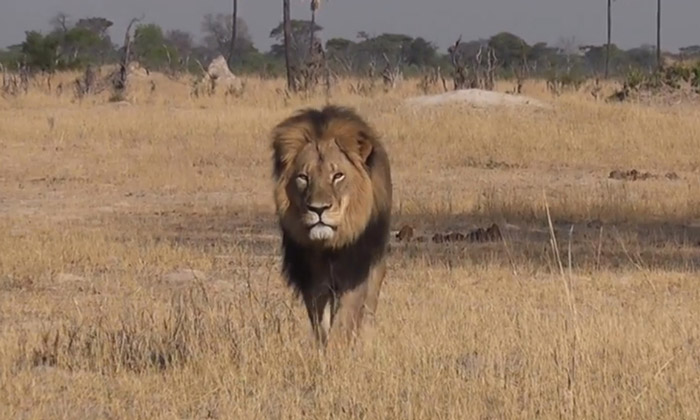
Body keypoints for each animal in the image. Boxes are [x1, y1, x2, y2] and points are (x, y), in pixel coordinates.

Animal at [270, 105, 392, 345]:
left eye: (337, 176)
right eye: (303, 177)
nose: (318, 209)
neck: (329, 247)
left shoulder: (355, 272)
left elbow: (345, 319)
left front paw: (339, 347)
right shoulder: (312, 278)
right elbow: (321, 322)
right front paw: (323, 347)